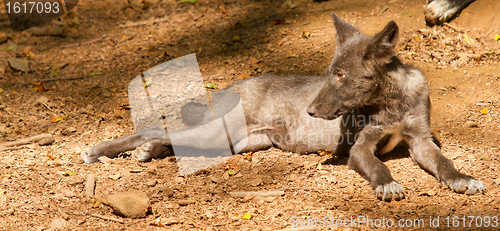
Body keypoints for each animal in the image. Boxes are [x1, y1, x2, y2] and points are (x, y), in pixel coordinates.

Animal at [82, 13, 484, 200]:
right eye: (328, 74)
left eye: (341, 75)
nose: (310, 112)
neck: (392, 103)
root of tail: (233, 85)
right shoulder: (360, 148)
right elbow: (378, 168)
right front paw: (387, 185)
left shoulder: (422, 141)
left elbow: (445, 163)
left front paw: (461, 178)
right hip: (216, 132)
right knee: (154, 127)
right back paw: (102, 149)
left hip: (232, 144)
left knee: (172, 139)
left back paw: (149, 151)